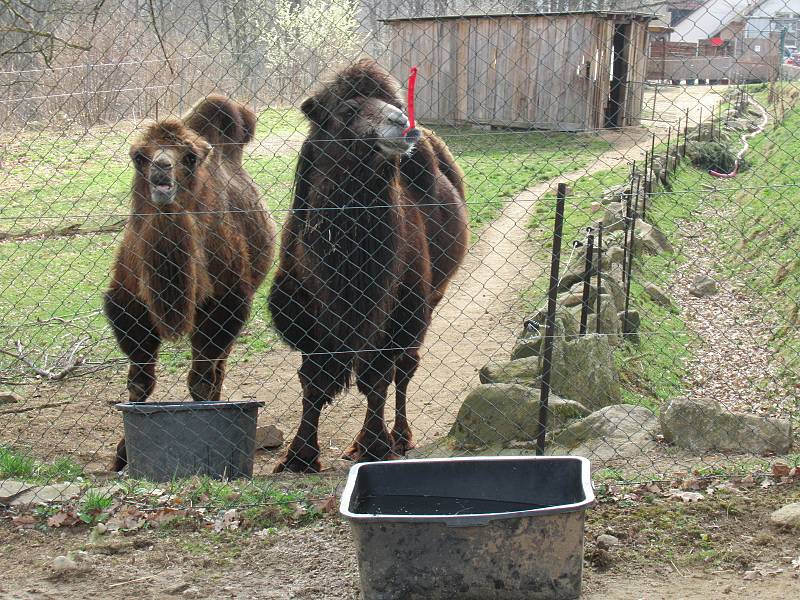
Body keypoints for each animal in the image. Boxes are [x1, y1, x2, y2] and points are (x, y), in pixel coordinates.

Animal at [104, 95, 276, 468]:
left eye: (190, 157)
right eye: (139, 156)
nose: (161, 168)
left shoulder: (225, 300)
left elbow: (200, 381)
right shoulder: (129, 299)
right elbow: (139, 383)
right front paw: (122, 457)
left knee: (217, 367)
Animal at [268, 61, 468, 474]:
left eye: (395, 104)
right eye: (347, 111)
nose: (403, 124)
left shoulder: (396, 307)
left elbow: (377, 378)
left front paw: (374, 446)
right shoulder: (308, 314)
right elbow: (313, 381)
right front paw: (299, 456)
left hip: (430, 297)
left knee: (404, 368)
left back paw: (400, 437)